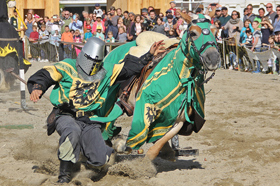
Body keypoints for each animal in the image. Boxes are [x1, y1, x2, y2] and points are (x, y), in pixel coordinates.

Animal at [114, 11, 221, 161]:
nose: (213, 58)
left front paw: (167, 152)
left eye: (215, 31)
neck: (179, 78)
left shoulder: (179, 120)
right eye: (193, 33)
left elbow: (159, 144)